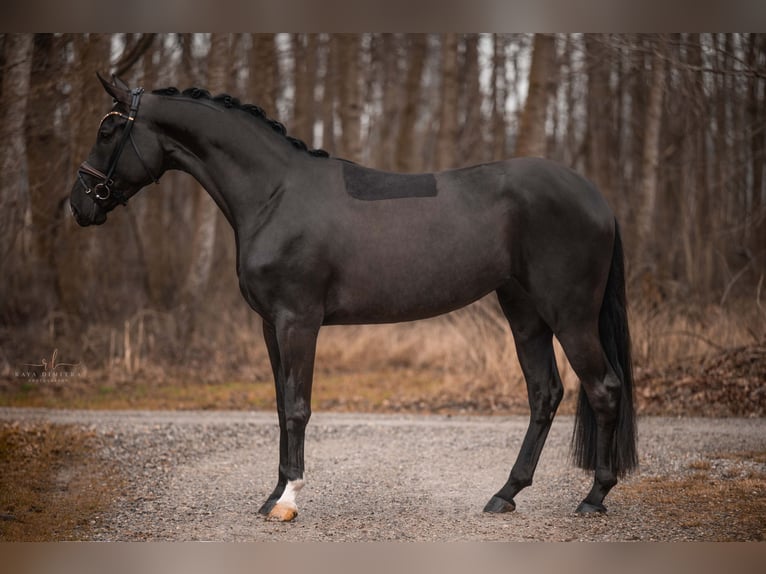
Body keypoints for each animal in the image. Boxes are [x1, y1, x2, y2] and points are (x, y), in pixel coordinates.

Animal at [72, 74, 640, 524]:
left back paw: (594, 497)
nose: (79, 204)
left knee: (605, 389)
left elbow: (297, 408)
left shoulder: (298, 321)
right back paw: (506, 494)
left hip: (571, 315)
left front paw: (288, 502)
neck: (275, 194)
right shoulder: (270, 325)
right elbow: (279, 406)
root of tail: (597, 198)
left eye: (107, 130)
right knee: (545, 394)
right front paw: (272, 495)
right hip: (524, 312)